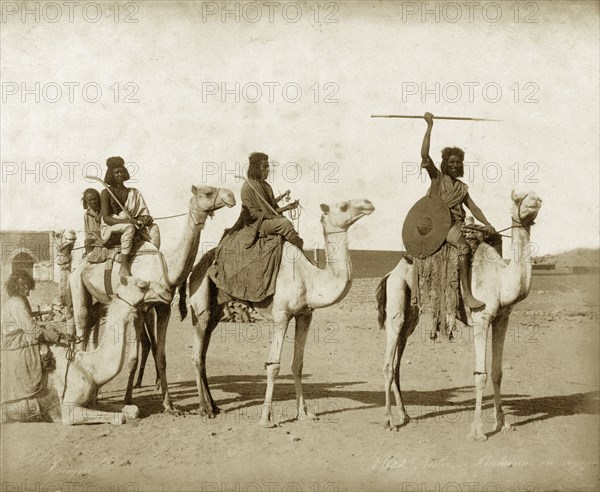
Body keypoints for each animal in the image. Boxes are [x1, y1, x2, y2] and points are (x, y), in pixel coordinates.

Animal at [2, 274, 169, 424]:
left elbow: (133, 409)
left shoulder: (92, 402)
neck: (89, 367)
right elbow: (119, 417)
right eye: (142, 285)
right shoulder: (68, 409)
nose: (167, 291)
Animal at [180, 199, 372, 426]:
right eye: (343, 206)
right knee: (196, 356)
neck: (310, 279)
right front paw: (266, 418)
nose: (368, 204)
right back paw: (204, 409)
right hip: (200, 303)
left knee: (203, 354)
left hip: (216, 311)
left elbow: (298, 364)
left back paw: (214, 406)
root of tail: (194, 268)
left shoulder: (305, 315)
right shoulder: (281, 314)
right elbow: (273, 366)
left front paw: (305, 413)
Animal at [380, 190, 544, 440]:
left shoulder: (502, 319)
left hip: (412, 313)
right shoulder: (481, 318)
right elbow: (481, 375)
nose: (536, 199)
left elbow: (497, 372)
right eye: (518, 198)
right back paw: (389, 421)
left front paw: (502, 422)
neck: (501, 279)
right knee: (389, 362)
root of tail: (390, 273)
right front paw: (478, 430)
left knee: (398, 359)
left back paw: (405, 415)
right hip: (396, 295)